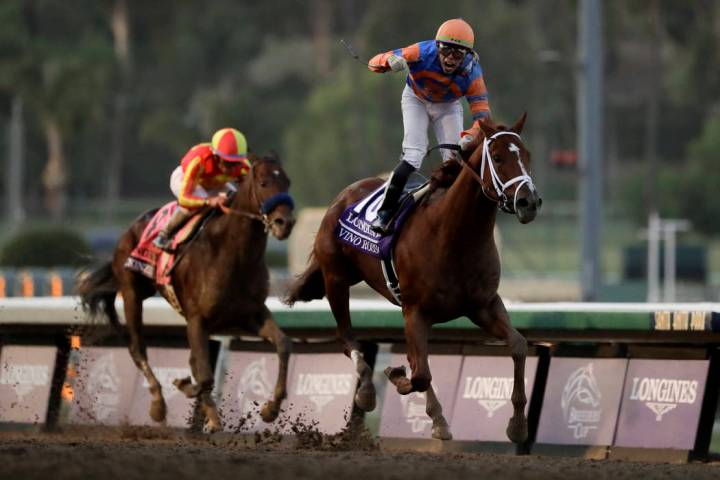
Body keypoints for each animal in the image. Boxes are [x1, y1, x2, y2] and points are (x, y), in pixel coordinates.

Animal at [82, 154, 298, 432]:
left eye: (287, 182)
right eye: (263, 183)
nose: (285, 223)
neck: (233, 255)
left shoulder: (251, 314)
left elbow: (283, 344)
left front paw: (271, 409)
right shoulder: (197, 320)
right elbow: (203, 375)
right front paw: (186, 389)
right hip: (132, 293)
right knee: (137, 348)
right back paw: (158, 404)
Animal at [286, 116, 540, 442]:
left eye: (527, 155)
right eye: (497, 157)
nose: (528, 202)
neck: (453, 235)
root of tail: (343, 195)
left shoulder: (483, 305)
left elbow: (518, 345)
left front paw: (518, 425)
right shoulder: (416, 310)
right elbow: (419, 374)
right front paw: (394, 376)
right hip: (336, 279)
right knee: (347, 338)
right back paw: (367, 390)